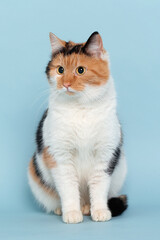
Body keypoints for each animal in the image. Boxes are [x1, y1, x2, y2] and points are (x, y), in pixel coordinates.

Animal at [27, 31, 127, 223]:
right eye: (60, 70)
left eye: (80, 70)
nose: (65, 84)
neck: (81, 109)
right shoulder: (60, 156)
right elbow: (68, 189)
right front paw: (72, 213)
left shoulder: (105, 155)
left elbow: (99, 187)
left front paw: (100, 211)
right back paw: (66, 209)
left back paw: (87, 208)